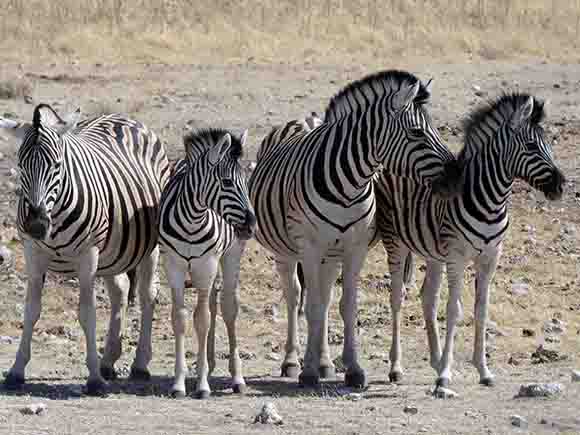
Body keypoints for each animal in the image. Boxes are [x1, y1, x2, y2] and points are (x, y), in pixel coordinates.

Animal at [0, 104, 171, 396]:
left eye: (57, 165)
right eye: (21, 165)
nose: (36, 225)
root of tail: (121, 117)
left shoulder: (88, 255)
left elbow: (87, 313)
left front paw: (93, 379)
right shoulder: (33, 253)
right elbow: (31, 310)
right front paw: (16, 370)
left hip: (149, 246)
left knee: (148, 294)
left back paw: (139, 365)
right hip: (114, 250)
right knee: (120, 291)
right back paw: (109, 361)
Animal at [160, 127, 258, 398]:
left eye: (246, 181)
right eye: (227, 183)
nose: (251, 225)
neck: (191, 220)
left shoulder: (206, 264)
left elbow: (201, 319)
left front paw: (202, 385)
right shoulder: (173, 264)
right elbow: (180, 318)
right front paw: (179, 383)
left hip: (228, 256)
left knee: (228, 307)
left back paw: (236, 378)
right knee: (213, 304)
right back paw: (209, 364)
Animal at [249, 70, 462, 390]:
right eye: (416, 133)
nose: (456, 177)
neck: (349, 185)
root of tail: (305, 119)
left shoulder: (354, 248)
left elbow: (346, 305)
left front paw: (353, 369)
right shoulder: (309, 248)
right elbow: (311, 306)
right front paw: (307, 372)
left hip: (331, 254)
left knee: (324, 299)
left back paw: (325, 363)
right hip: (286, 251)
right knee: (295, 295)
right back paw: (292, 361)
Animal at [376, 92, 568, 392]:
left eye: (549, 144)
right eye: (530, 146)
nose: (560, 185)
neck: (491, 201)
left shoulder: (490, 257)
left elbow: (481, 310)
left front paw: (482, 370)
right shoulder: (457, 257)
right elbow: (454, 310)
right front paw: (445, 375)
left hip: (433, 252)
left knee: (427, 298)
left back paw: (435, 360)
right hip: (395, 241)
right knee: (397, 297)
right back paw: (397, 367)